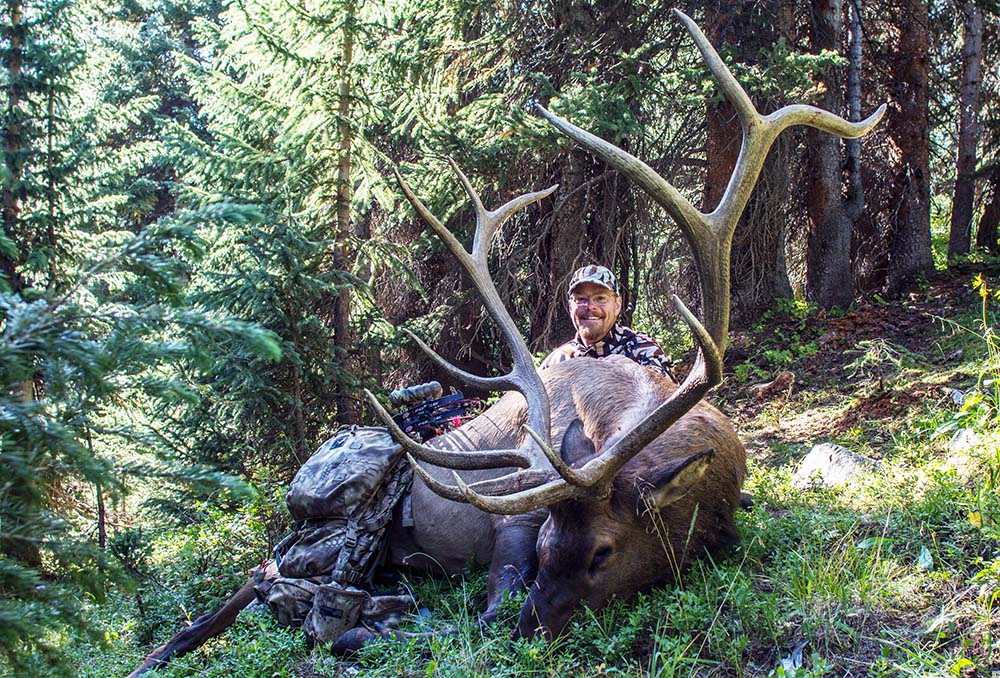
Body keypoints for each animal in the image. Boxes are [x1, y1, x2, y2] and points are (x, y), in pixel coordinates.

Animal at [127, 9, 884, 676]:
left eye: (604, 552)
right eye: (548, 541)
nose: (534, 629)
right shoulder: (516, 519)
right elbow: (486, 607)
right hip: (315, 541)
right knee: (249, 591)